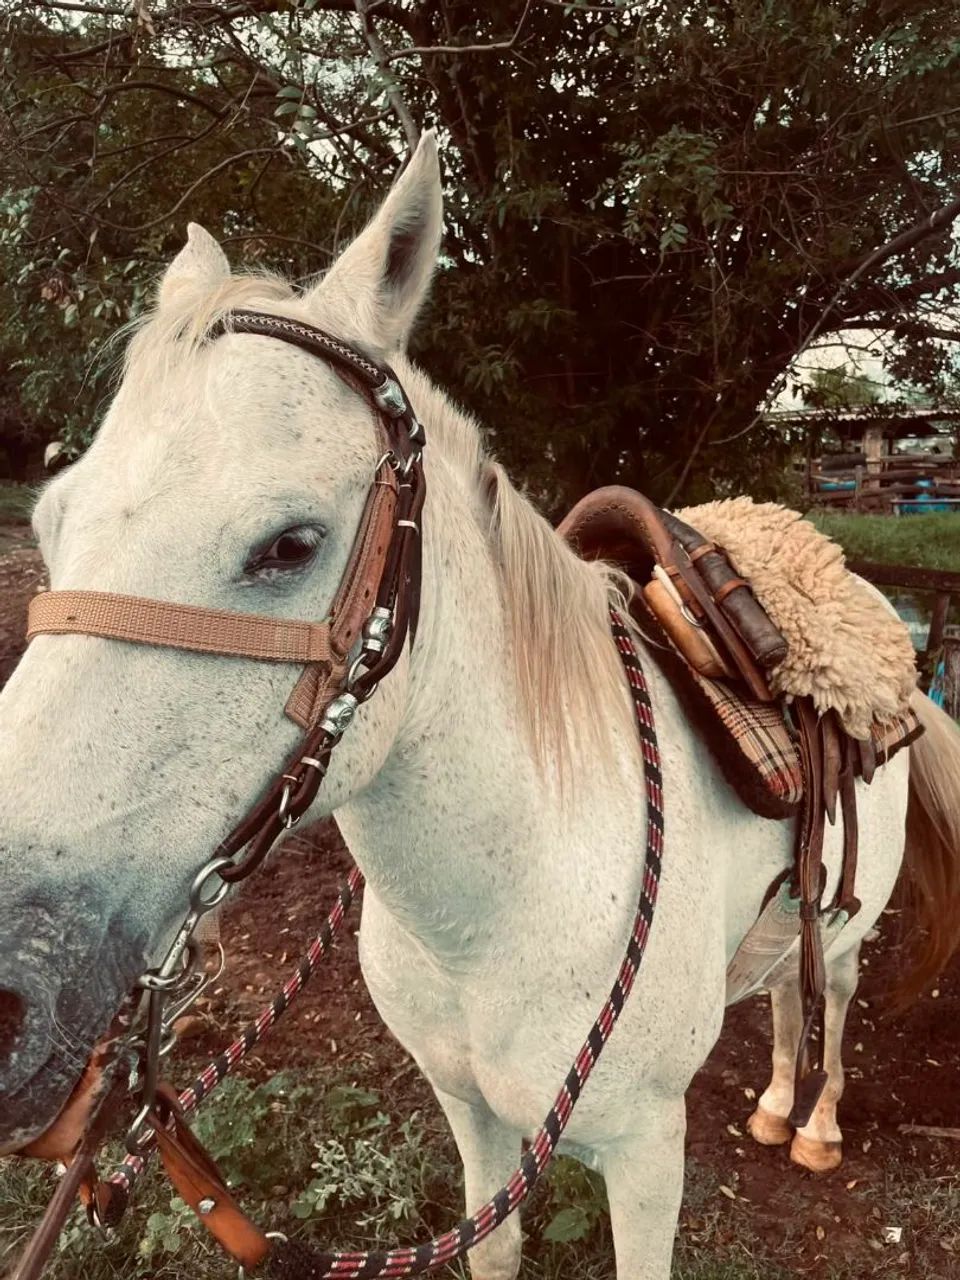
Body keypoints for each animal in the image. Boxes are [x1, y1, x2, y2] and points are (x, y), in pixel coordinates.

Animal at [2, 132, 959, 1280]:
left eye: (290, 545)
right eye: (51, 521)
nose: (13, 998)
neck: (502, 904)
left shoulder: (648, 1155)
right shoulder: (471, 1113)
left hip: (856, 923)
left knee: (835, 992)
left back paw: (810, 1122)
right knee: (782, 985)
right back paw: (774, 1101)